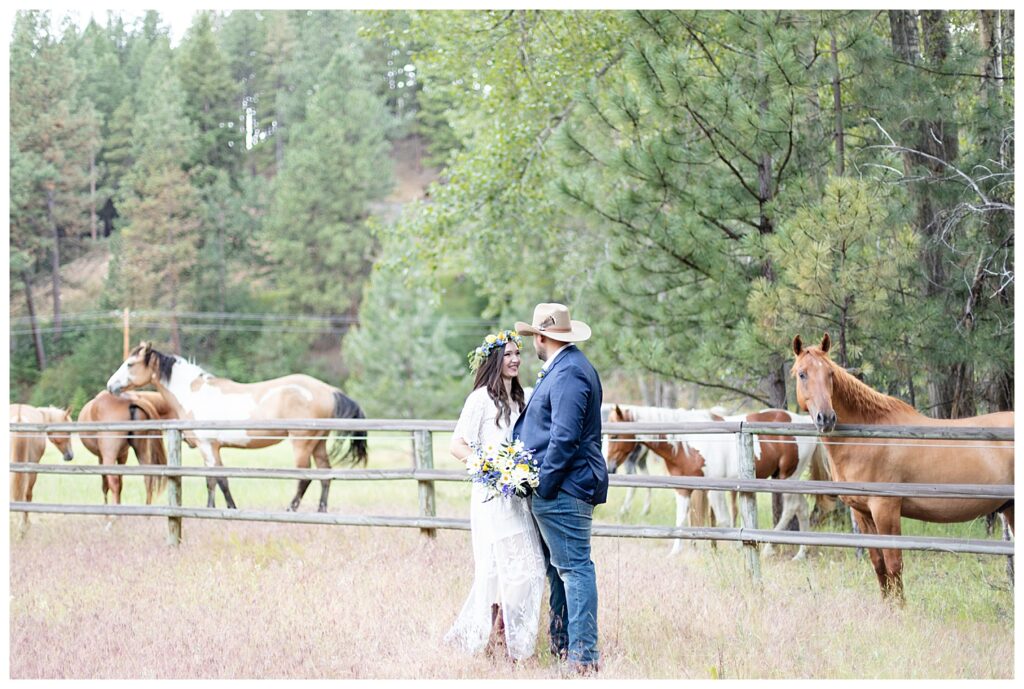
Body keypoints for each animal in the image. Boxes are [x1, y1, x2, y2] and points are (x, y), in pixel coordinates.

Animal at [103, 341, 366, 509]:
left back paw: (290, 510)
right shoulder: (208, 449)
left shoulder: (209, 447)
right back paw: (322, 511)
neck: (194, 394)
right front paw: (209, 509)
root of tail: (328, 390)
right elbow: (210, 481)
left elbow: (221, 480)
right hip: (318, 443)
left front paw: (231, 508)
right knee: (325, 475)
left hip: (302, 443)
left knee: (304, 478)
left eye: (130, 364)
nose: (110, 385)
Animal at [786, 329, 1011, 597]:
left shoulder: (886, 509)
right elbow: (879, 565)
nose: (827, 418)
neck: (869, 439)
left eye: (830, 373)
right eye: (802, 374)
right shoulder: (863, 512)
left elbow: (894, 565)